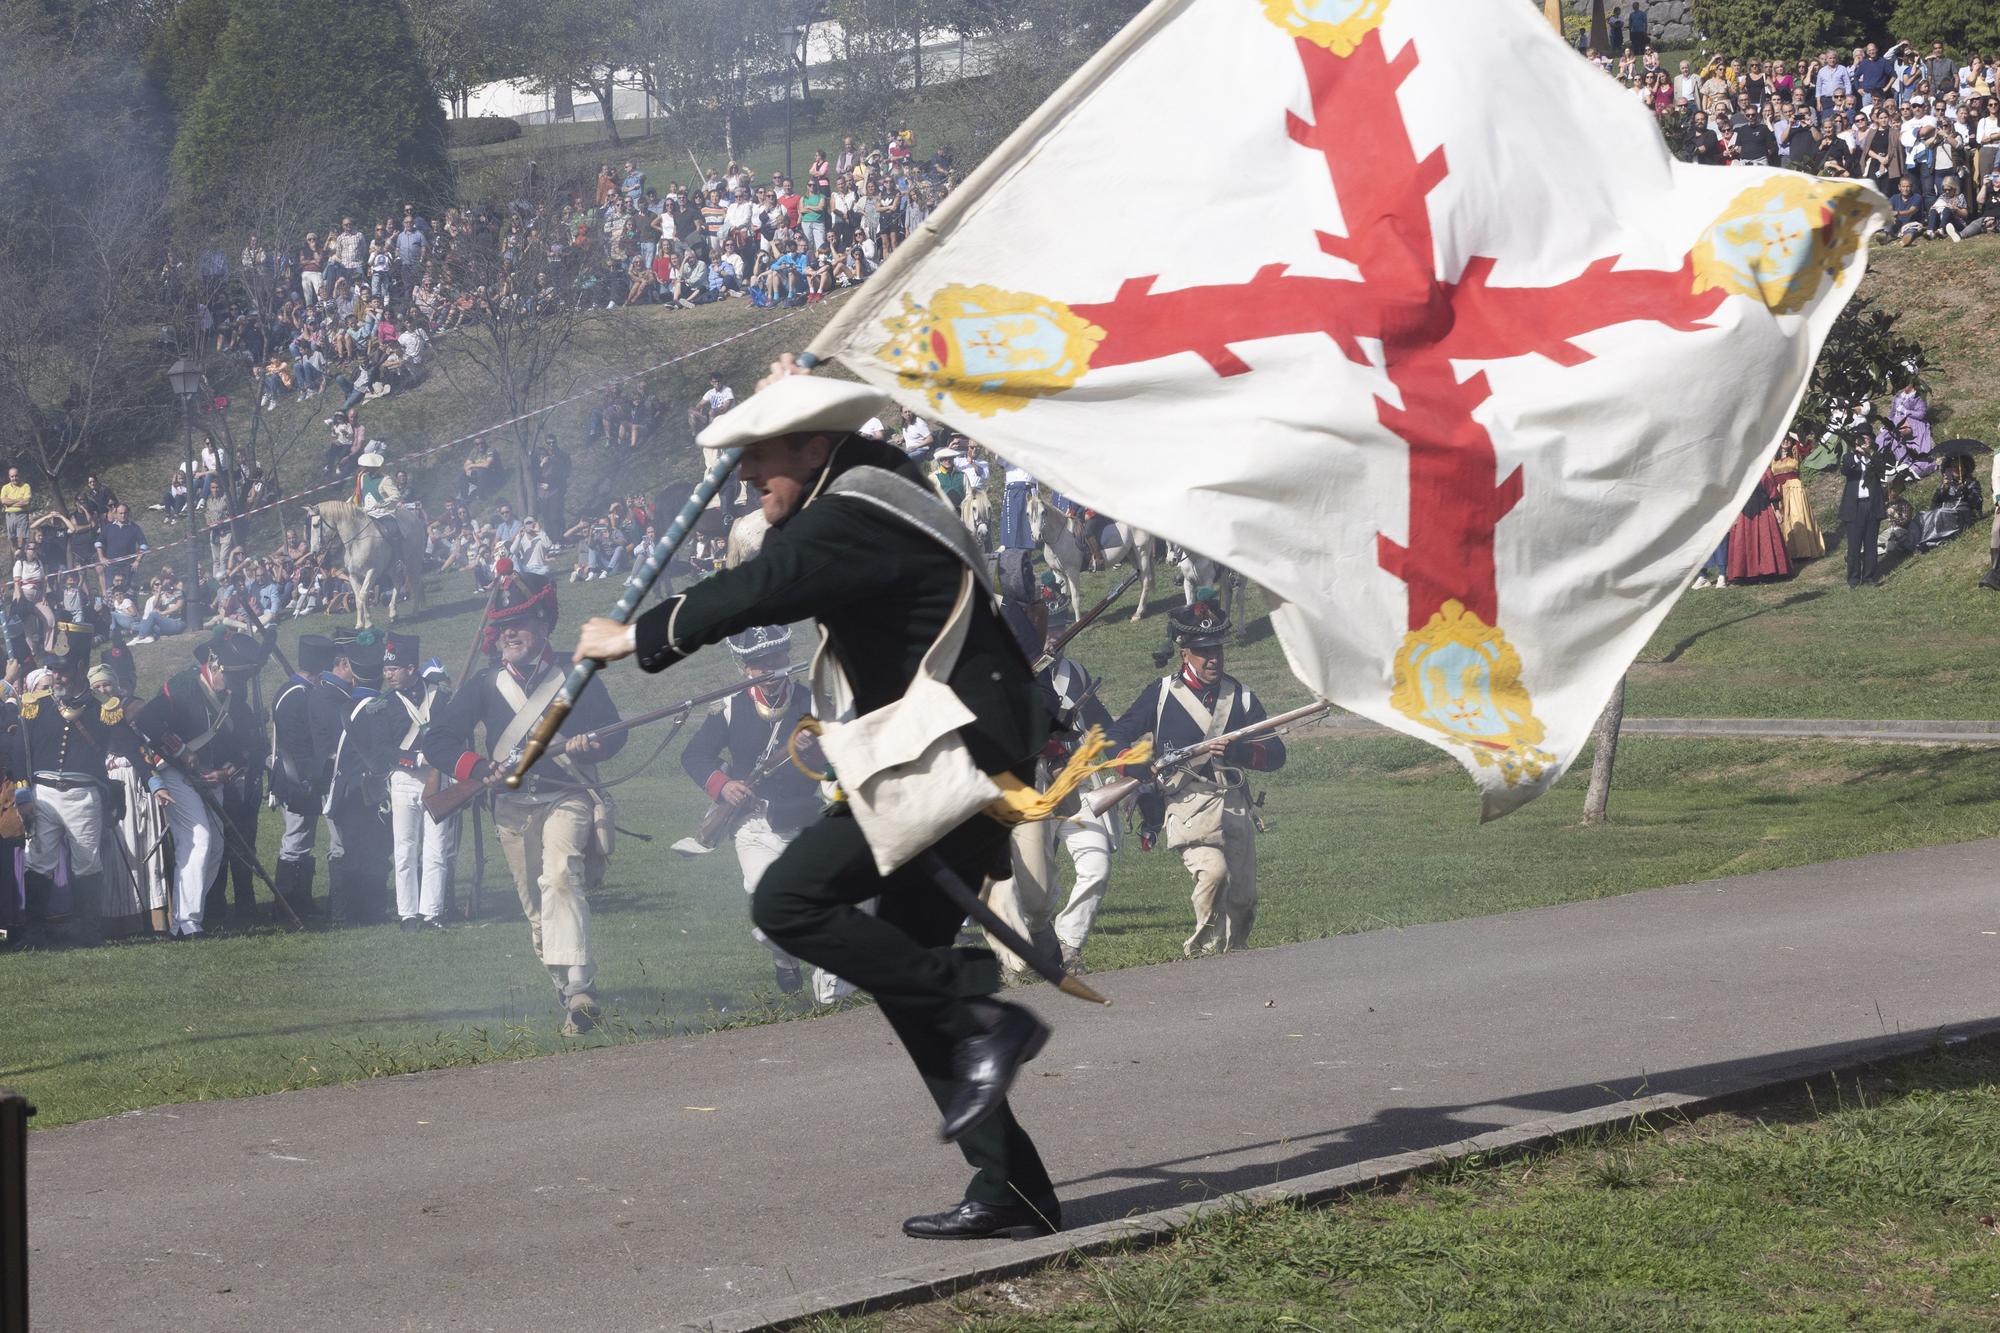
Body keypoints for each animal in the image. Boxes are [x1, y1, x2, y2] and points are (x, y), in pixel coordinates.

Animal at [306, 498, 428, 628]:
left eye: (315, 525)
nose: (314, 552)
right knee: (398, 582)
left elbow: (363, 594)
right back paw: (393, 613)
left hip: (413, 560)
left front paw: (368, 623)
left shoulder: (372, 572)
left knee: (415, 582)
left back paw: (415, 611)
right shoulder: (353, 575)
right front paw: (360, 624)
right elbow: (358, 597)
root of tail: (414, 517)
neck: (357, 541)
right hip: (392, 566)